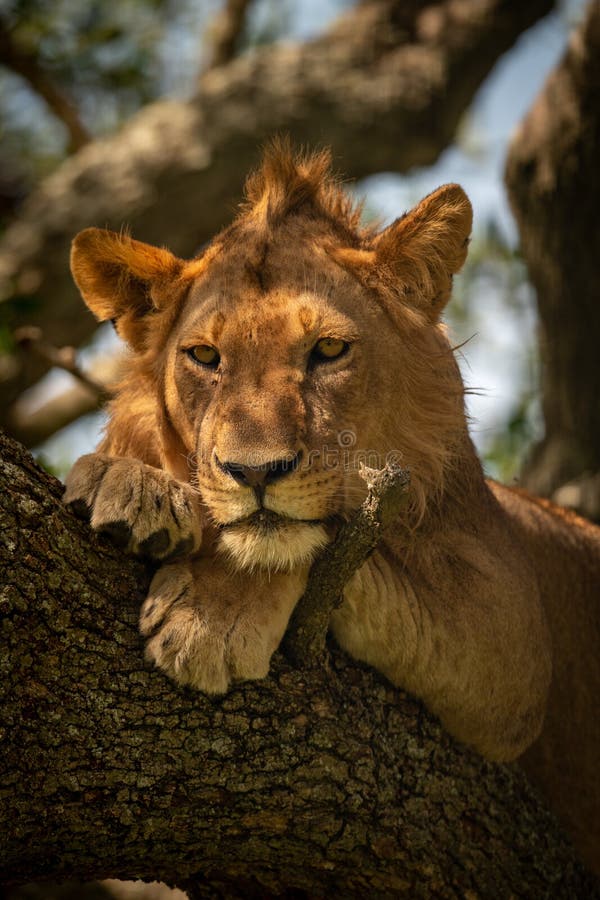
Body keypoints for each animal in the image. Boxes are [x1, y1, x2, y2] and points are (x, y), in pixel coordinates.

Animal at [64, 140, 600, 872]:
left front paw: (210, 614)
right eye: (204, 356)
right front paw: (127, 483)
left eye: (328, 349)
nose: (254, 471)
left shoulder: (514, 640)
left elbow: (308, 545)